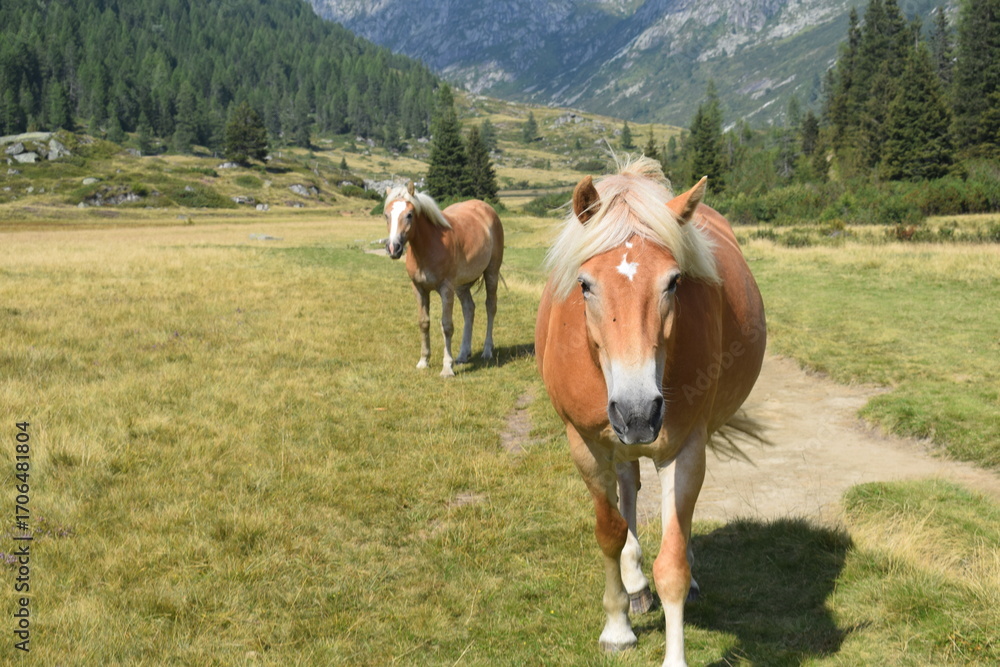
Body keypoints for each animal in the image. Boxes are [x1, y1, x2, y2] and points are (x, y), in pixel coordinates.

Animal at [383, 182, 504, 377]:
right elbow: (424, 323)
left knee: (490, 307)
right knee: (469, 309)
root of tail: (487, 209)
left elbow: (447, 326)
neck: (429, 246)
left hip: (491, 273)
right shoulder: (419, 289)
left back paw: (487, 351)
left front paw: (447, 368)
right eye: (386, 215)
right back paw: (463, 354)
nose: (393, 248)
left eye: (409, 215)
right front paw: (423, 361)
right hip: (461, 286)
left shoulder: (446, 289)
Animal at [534, 157, 766, 666]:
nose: (638, 412)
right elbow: (609, 532)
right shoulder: (585, 445)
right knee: (627, 491)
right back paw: (635, 584)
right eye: (585, 284)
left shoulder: (685, 448)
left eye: (674, 281)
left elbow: (673, 562)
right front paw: (617, 627)